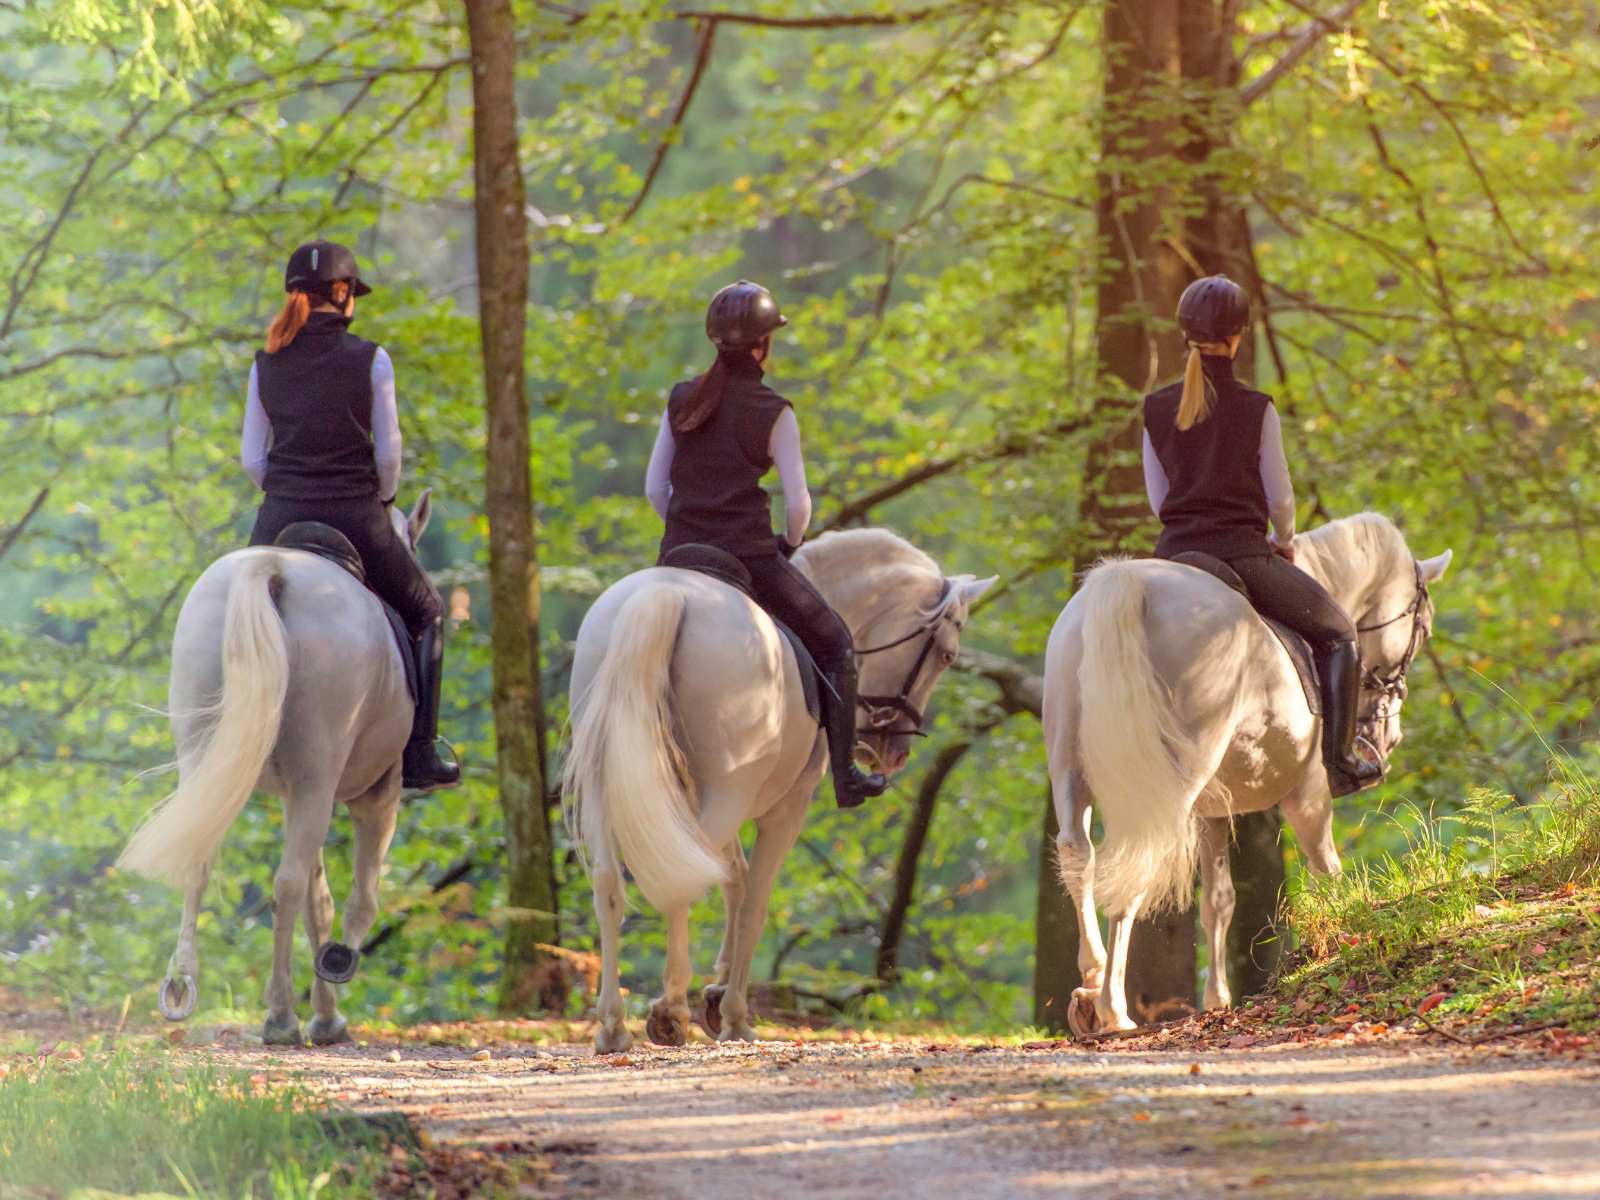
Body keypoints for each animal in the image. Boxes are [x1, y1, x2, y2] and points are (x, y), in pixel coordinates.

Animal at [118, 493, 436, 1046]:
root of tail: (273, 566)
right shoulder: (375, 792)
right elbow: (356, 899)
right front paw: (333, 984)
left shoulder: (293, 795)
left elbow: (319, 901)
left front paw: (326, 1012)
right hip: (319, 778)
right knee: (287, 885)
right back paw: (282, 1016)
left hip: (207, 760)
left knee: (202, 860)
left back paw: (181, 986)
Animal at [564, 529, 996, 1052]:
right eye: (947, 655)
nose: (892, 754)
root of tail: (665, 595)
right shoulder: (787, 808)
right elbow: (753, 902)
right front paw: (732, 1012)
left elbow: (735, 880)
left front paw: (718, 990)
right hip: (726, 789)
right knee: (680, 879)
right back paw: (671, 1009)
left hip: (611, 784)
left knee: (611, 882)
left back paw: (612, 1024)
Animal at [1042, 512, 1451, 1036]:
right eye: (1424, 628)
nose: (1388, 739)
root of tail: (1131, 585)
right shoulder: (1309, 793)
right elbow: (1326, 872)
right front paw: (1334, 942)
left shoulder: (1212, 810)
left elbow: (1219, 901)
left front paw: (1217, 1000)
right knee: (1136, 863)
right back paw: (1113, 1008)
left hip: (1071, 767)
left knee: (1079, 852)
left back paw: (1091, 984)